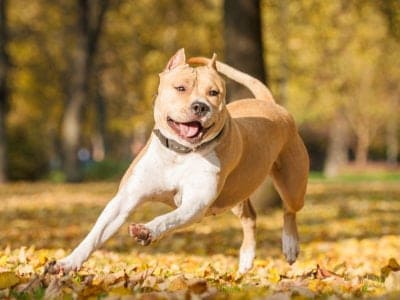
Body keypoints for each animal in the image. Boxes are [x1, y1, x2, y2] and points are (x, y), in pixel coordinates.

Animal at [50, 48, 310, 274]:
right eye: (180, 88)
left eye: (213, 93)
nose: (200, 106)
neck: (180, 153)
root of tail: (271, 104)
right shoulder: (125, 199)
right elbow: (95, 234)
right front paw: (68, 262)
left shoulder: (195, 202)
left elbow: (168, 218)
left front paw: (147, 230)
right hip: (235, 192)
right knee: (250, 216)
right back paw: (246, 259)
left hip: (292, 184)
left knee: (289, 210)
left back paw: (290, 245)